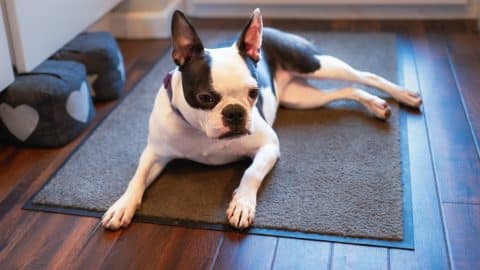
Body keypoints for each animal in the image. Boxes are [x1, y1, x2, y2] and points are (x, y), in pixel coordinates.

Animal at [101, 9, 420, 231]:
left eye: (253, 93)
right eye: (205, 97)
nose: (235, 112)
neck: (202, 134)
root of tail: (273, 32)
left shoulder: (269, 145)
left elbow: (251, 173)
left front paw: (242, 204)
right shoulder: (155, 153)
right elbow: (137, 178)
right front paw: (122, 206)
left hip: (315, 64)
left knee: (364, 76)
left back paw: (402, 95)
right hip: (300, 97)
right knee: (346, 90)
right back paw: (376, 104)